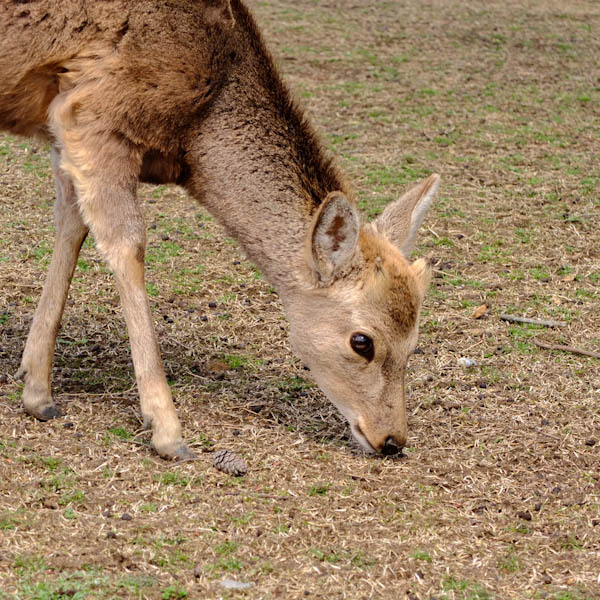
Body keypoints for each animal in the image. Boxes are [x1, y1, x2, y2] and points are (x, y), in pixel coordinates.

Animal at [0, 0, 440, 460]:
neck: (194, 135)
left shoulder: (65, 125)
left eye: (416, 340)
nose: (392, 439)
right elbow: (127, 244)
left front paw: (35, 386)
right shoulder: (92, 112)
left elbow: (71, 223)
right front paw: (168, 431)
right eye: (362, 342)